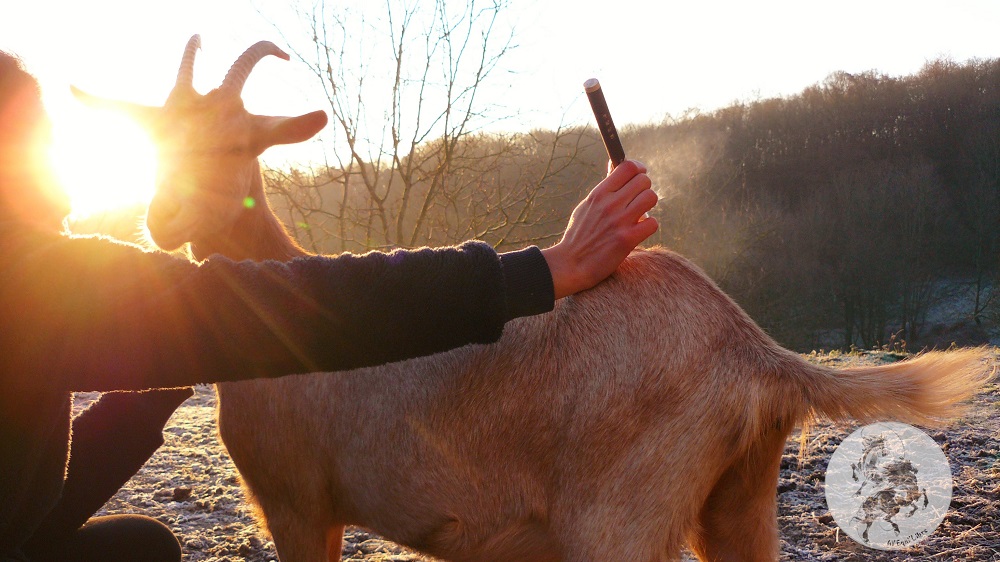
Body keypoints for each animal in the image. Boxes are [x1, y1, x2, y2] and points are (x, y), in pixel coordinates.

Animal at [76, 36, 992, 560]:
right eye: (158, 138)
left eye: (237, 141)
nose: (161, 220)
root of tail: (752, 350)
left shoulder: (298, 500)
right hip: (739, 497)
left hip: (621, 519)